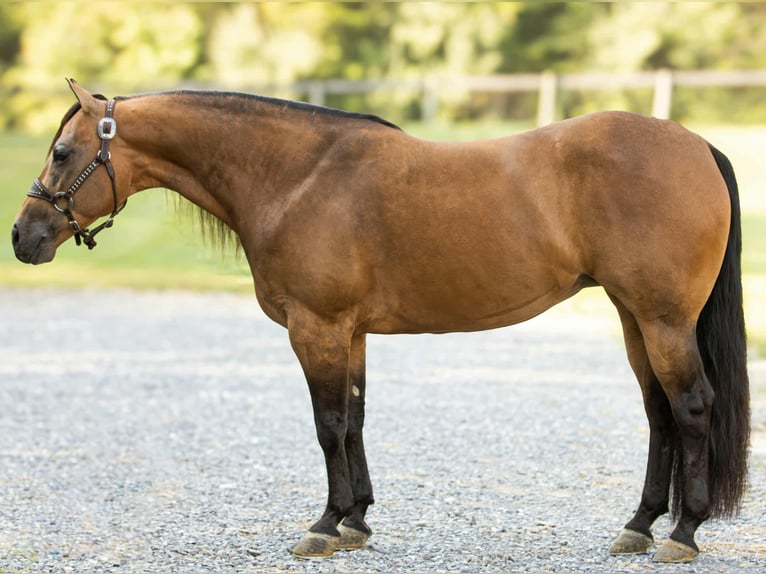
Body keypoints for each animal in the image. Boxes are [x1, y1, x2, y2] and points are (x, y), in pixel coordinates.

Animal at [12, 79, 749, 563]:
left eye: (62, 152)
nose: (23, 236)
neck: (296, 177)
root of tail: (697, 146)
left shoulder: (316, 327)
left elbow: (329, 424)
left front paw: (324, 524)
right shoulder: (351, 332)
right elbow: (357, 420)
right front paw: (357, 522)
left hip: (662, 320)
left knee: (690, 408)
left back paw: (682, 535)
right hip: (634, 318)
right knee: (658, 413)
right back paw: (639, 526)